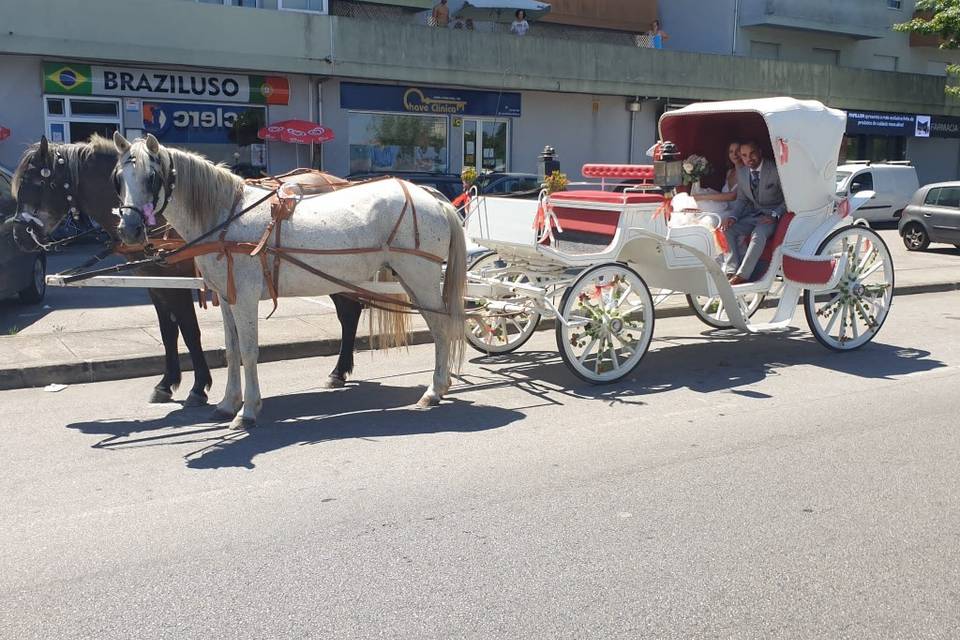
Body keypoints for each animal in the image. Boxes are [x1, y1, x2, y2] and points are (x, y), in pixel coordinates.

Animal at [11, 136, 364, 404]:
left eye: (36, 182)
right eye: (117, 180)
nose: (18, 236)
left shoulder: (178, 282)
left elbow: (189, 331)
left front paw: (198, 387)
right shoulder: (155, 284)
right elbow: (168, 333)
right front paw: (167, 384)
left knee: (349, 313)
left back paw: (338, 370)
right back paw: (340, 370)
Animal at [112, 132, 464, 428]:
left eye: (152, 177)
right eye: (118, 179)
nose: (129, 230)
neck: (226, 218)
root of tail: (430, 196)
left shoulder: (245, 298)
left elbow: (249, 352)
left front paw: (248, 410)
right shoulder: (227, 298)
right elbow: (231, 351)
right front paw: (227, 403)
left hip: (420, 279)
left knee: (441, 329)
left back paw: (435, 389)